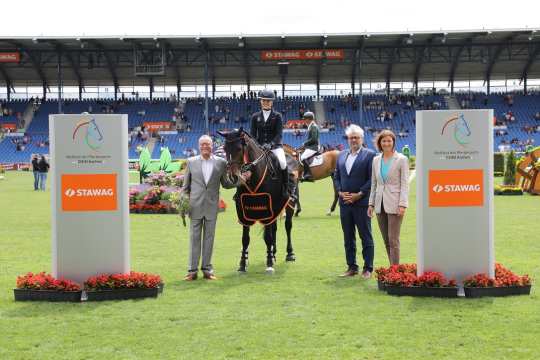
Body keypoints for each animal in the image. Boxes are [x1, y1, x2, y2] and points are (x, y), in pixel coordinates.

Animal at [217, 129, 298, 272]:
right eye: (225, 149)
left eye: (239, 149)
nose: (233, 177)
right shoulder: (244, 209)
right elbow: (245, 238)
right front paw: (243, 264)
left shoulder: (268, 208)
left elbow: (268, 237)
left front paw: (269, 263)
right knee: (274, 228)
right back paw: (274, 253)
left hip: (289, 204)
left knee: (288, 226)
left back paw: (290, 254)